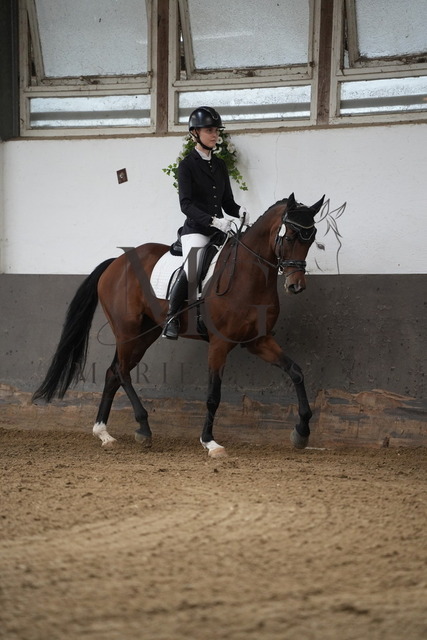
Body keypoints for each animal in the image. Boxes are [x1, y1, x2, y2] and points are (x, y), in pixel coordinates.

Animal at [33, 193, 325, 458]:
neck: (246, 275)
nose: (295, 286)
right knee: (122, 372)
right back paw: (143, 428)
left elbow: (296, 372)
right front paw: (210, 442)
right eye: (290, 237)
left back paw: (104, 433)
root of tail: (116, 263)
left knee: (113, 372)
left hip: (145, 334)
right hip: (127, 331)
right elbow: (213, 395)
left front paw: (302, 431)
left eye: (311, 240)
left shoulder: (258, 341)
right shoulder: (219, 344)